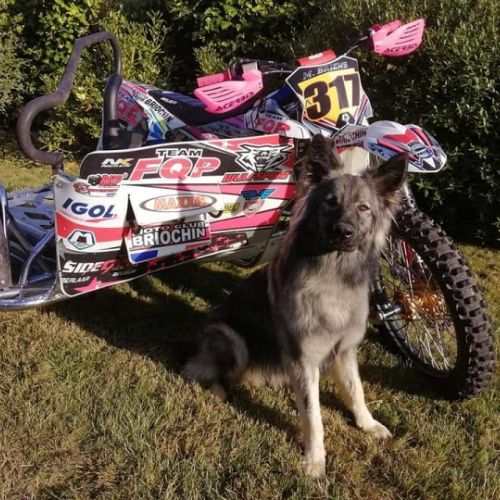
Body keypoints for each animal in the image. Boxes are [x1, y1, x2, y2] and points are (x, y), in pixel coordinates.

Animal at [183, 134, 407, 477]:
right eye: (331, 202)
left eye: (363, 208)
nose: (344, 232)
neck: (333, 275)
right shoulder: (305, 357)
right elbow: (313, 414)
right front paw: (315, 459)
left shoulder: (344, 349)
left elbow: (356, 390)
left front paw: (367, 424)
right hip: (232, 339)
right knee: (201, 370)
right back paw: (219, 388)